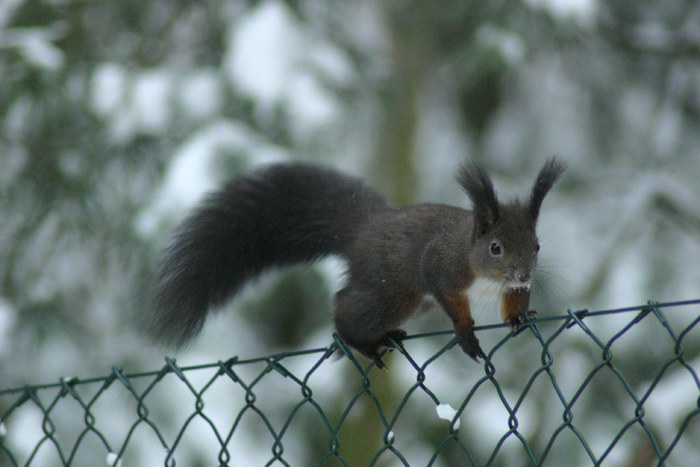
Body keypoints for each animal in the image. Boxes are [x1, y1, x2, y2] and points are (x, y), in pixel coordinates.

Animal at [150, 158, 568, 370]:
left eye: (537, 246)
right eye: (496, 248)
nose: (523, 272)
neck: (481, 269)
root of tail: (363, 229)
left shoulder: (512, 286)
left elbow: (515, 301)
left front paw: (518, 317)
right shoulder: (441, 268)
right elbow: (453, 303)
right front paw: (465, 332)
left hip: (411, 303)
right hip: (392, 294)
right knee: (346, 306)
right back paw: (363, 344)